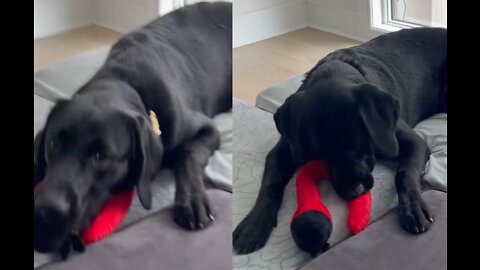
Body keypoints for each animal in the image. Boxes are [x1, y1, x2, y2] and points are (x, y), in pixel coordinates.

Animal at [32, 2, 232, 260]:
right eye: (54, 144)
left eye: (101, 155)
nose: (46, 214)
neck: (123, 81)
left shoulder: (207, 128)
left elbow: (187, 154)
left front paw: (191, 200)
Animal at [234, 27, 448, 253]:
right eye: (321, 154)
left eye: (360, 145)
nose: (354, 192)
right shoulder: (283, 149)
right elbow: (271, 181)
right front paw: (253, 224)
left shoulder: (413, 141)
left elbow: (405, 173)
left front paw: (413, 208)